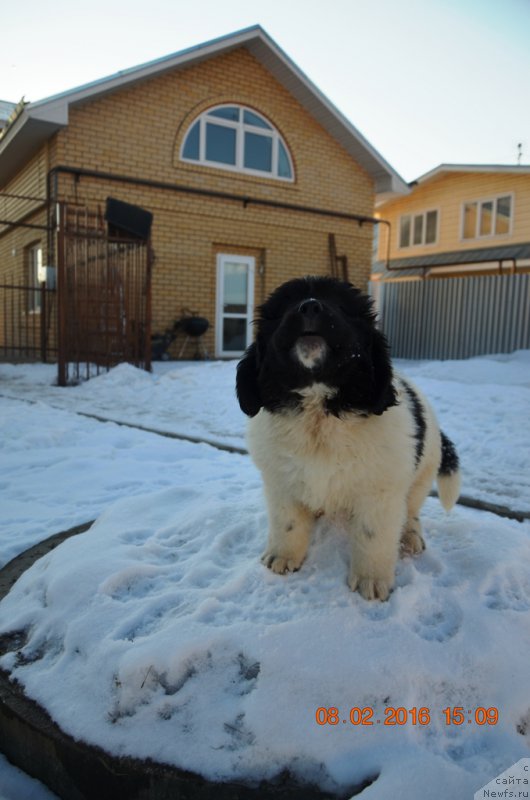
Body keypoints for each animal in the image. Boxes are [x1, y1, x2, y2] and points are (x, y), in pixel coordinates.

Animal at [235, 276, 458, 600]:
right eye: (286, 305)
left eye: (341, 306)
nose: (309, 306)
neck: (319, 409)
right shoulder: (281, 483)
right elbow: (287, 523)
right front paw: (282, 558)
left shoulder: (379, 491)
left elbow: (373, 536)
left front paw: (371, 581)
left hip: (421, 471)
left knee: (411, 510)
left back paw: (410, 537)